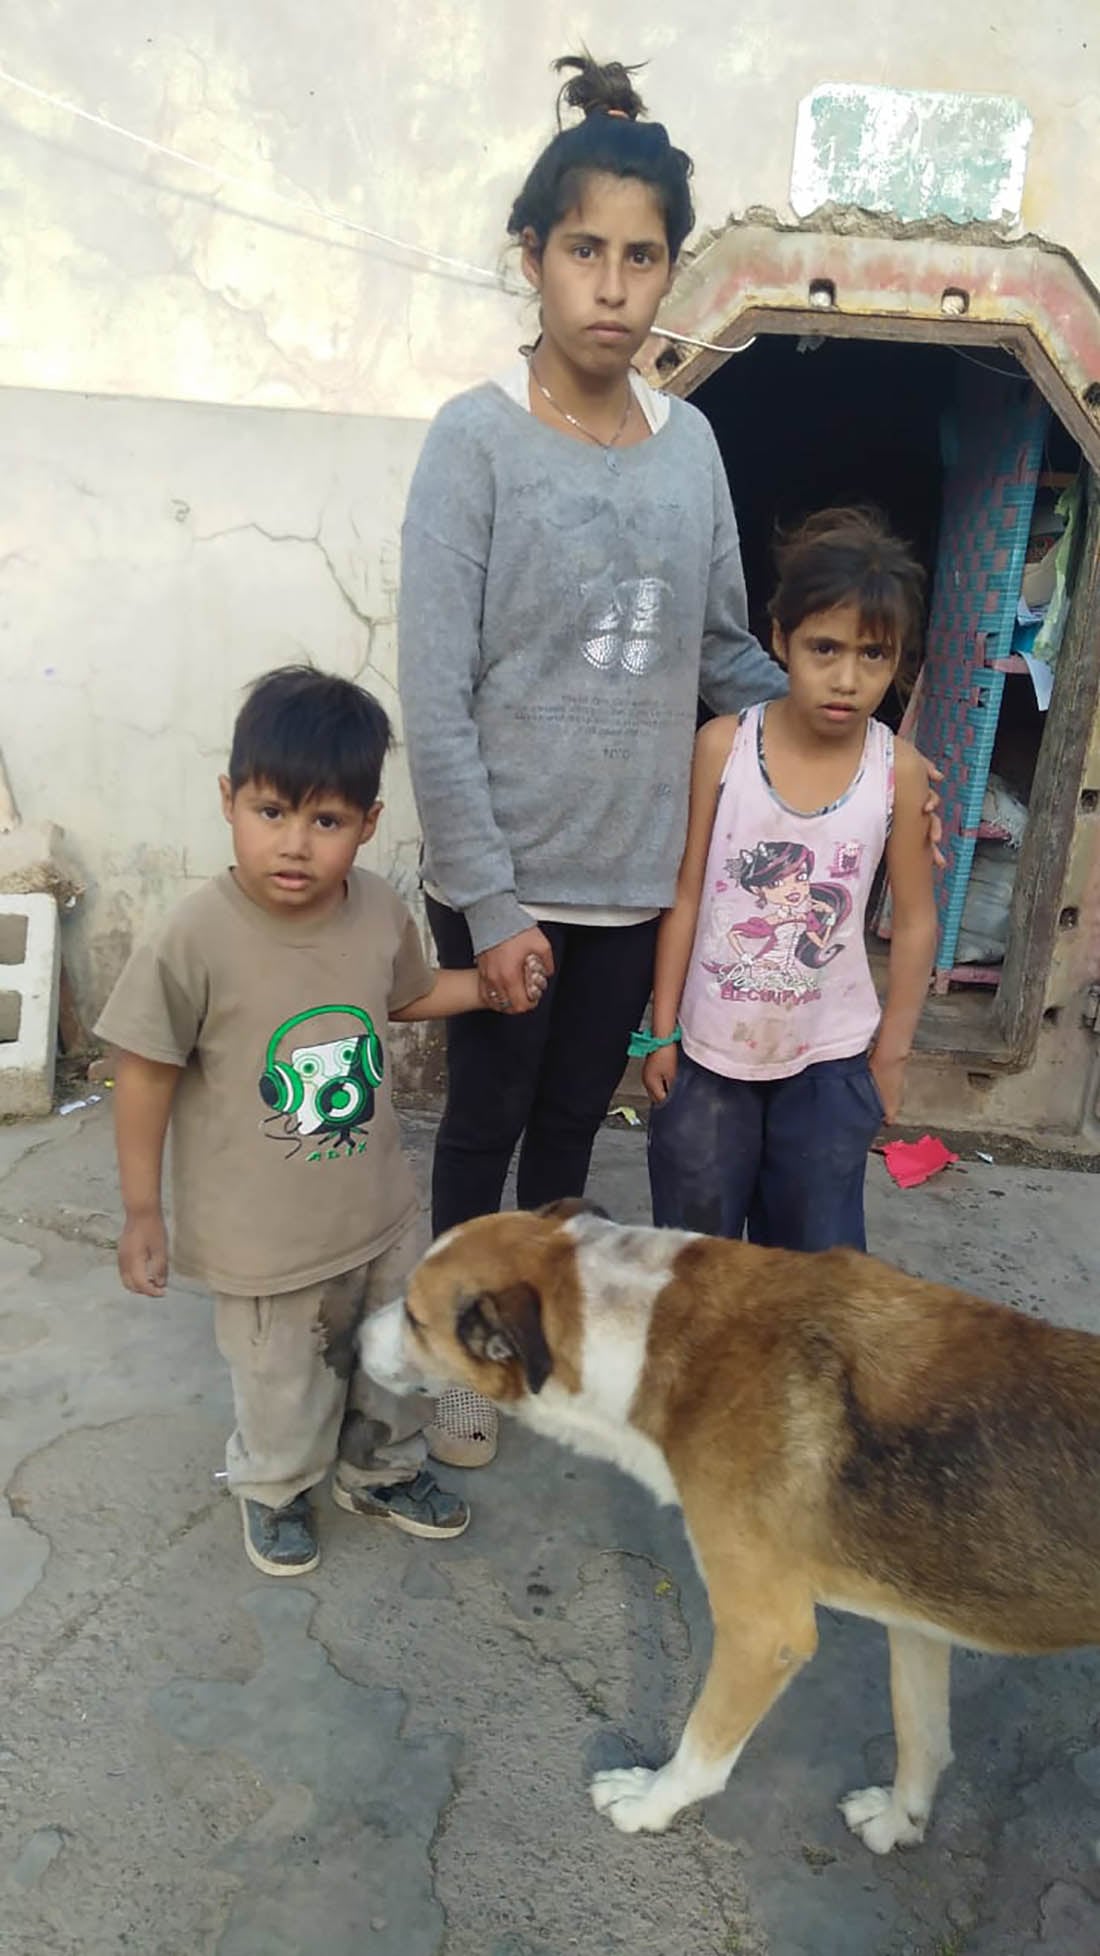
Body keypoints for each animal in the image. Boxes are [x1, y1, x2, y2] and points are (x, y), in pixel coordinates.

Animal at [358, 1197, 1096, 1854]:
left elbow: (701, 1750)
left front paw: (650, 1802)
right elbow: (922, 1735)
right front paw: (900, 1821)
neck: (650, 1331)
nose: (355, 1333)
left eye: (415, 1320)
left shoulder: (765, 1634)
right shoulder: (917, 1615)